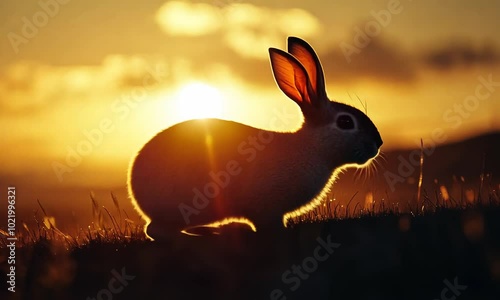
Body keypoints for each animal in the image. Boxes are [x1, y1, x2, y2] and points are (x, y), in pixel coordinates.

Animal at [128, 36, 382, 240]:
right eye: (346, 122)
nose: (377, 144)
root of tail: (135, 187)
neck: (313, 147)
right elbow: (269, 226)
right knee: (157, 231)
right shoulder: (267, 209)